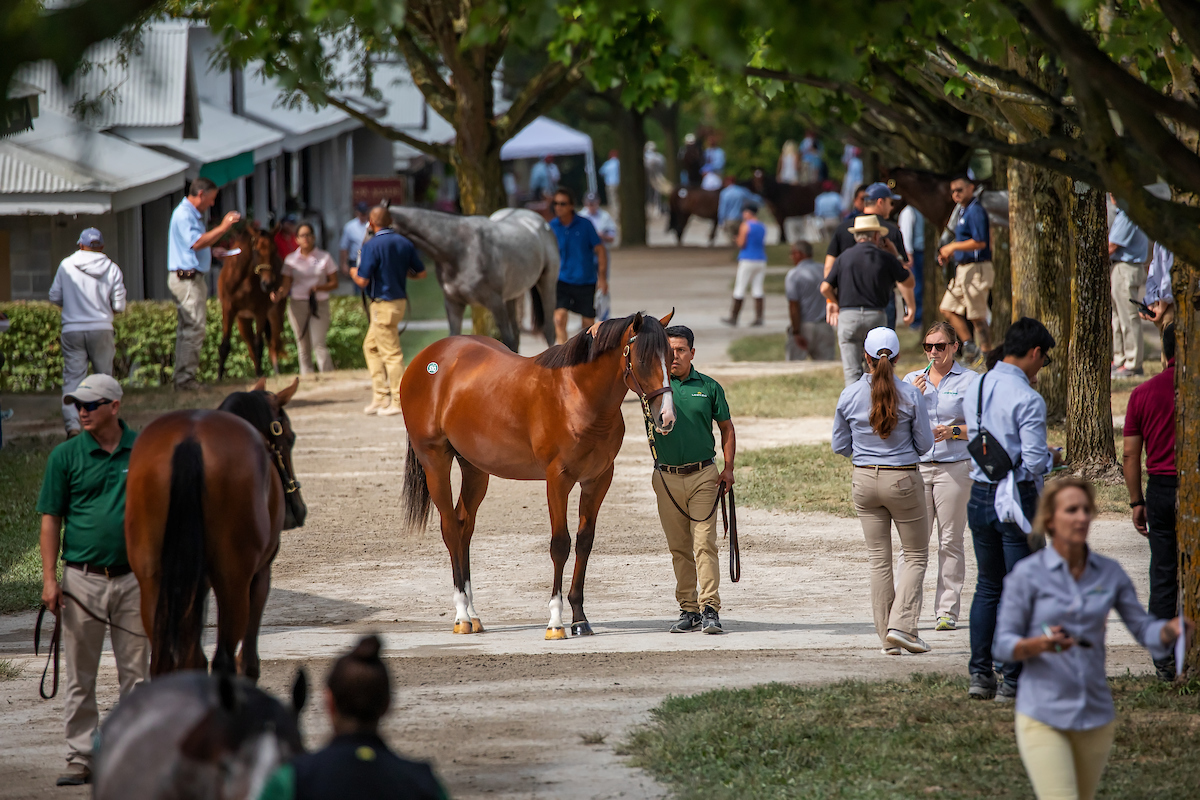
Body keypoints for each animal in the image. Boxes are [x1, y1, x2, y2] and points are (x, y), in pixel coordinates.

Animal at [124, 379, 304, 681]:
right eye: (289, 438)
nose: (298, 510)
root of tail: (190, 439)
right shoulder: (260, 574)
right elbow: (248, 659)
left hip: (152, 582)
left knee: (176, 659)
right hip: (233, 580)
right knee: (223, 660)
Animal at [218, 225, 288, 381]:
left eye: (274, 250)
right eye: (256, 250)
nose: (268, 284)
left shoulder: (260, 311)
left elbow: (259, 345)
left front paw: (260, 374)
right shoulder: (228, 309)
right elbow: (225, 345)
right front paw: (219, 378)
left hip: (275, 316)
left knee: (273, 344)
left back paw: (276, 372)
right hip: (243, 320)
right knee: (250, 344)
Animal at [386, 205, 559, 347]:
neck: (459, 249)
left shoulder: (495, 303)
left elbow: (507, 340)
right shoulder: (453, 303)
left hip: (547, 284)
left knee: (549, 330)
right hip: (512, 295)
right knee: (517, 334)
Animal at [403, 311, 681, 638]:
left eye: (671, 356)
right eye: (643, 358)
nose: (666, 417)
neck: (577, 395)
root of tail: (426, 359)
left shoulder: (598, 479)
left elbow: (585, 541)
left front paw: (580, 619)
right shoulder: (558, 479)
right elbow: (560, 544)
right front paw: (556, 621)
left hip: (474, 468)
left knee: (463, 527)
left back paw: (474, 614)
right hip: (435, 461)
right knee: (449, 528)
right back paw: (461, 615)